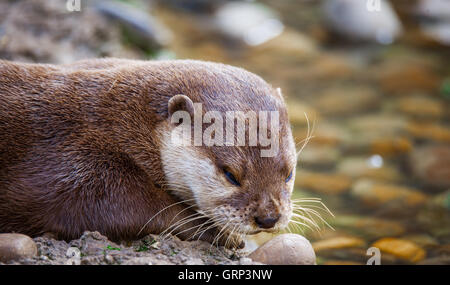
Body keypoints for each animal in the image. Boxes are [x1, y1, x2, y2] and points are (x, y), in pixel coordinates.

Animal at [0, 57, 298, 246]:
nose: (268, 218)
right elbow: (135, 209)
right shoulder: (77, 168)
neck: (121, 120)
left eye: (288, 174)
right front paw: (219, 234)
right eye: (231, 175)